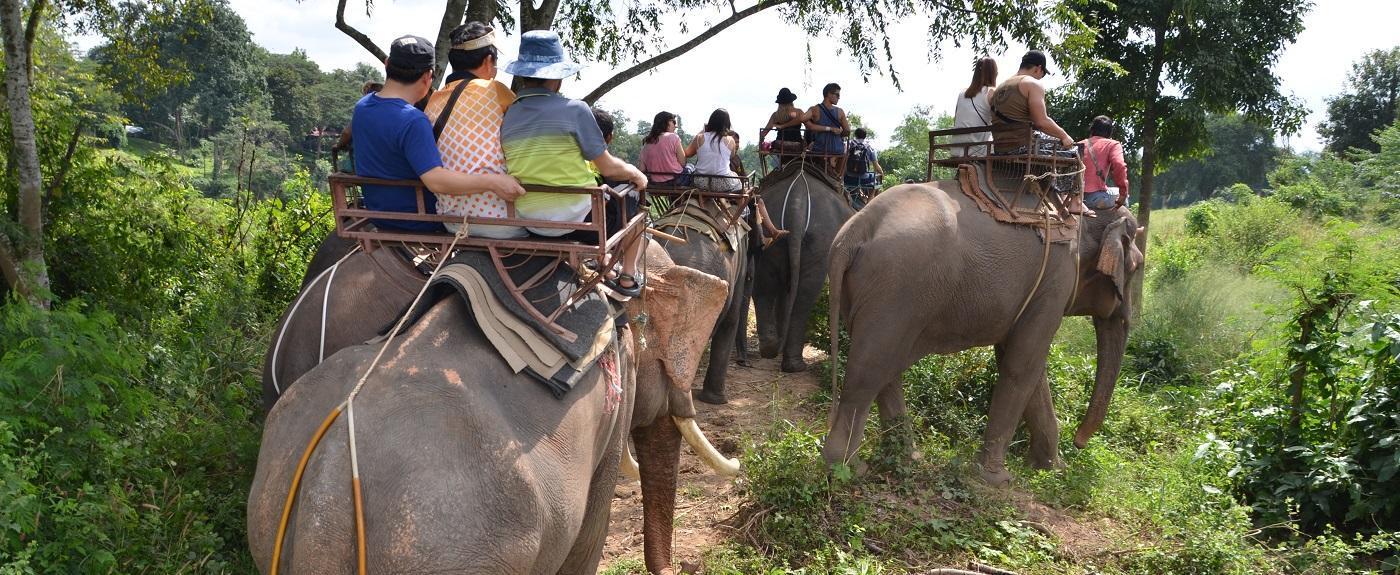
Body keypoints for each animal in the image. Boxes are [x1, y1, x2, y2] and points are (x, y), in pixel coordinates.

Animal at [247, 244, 739, 575]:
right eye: (667, 357)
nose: (678, 568)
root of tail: (326, 494)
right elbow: (587, 536)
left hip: (271, 524)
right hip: (453, 551)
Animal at [756, 157, 851, 374]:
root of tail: (796, 202)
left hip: (770, 230)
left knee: (765, 282)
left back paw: (770, 349)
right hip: (822, 241)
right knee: (806, 294)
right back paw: (795, 365)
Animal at [823, 183, 1142, 486]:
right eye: (1135, 267)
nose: (1079, 443)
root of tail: (855, 230)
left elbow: (1026, 367)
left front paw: (1051, 470)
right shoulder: (1057, 280)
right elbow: (1022, 366)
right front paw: (998, 480)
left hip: (872, 293)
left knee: (885, 369)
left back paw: (906, 457)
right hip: (897, 287)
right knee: (869, 373)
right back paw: (847, 468)